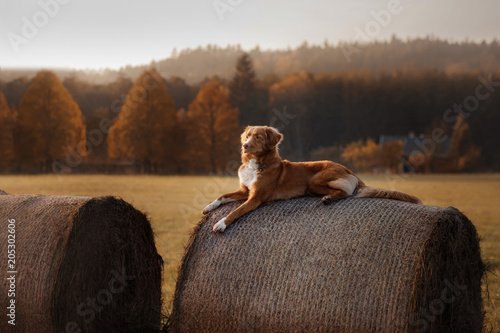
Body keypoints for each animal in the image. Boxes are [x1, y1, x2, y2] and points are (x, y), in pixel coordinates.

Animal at [201, 124, 420, 231]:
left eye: (258, 137)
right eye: (247, 136)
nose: (245, 146)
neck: (257, 163)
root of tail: (349, 170)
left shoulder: (256, 197)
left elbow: (236, 211)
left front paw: (221, 223)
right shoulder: (244, 190)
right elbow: (223, 196)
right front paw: (208, 208)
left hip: (314, 181)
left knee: (345, 192)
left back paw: (329, 198)